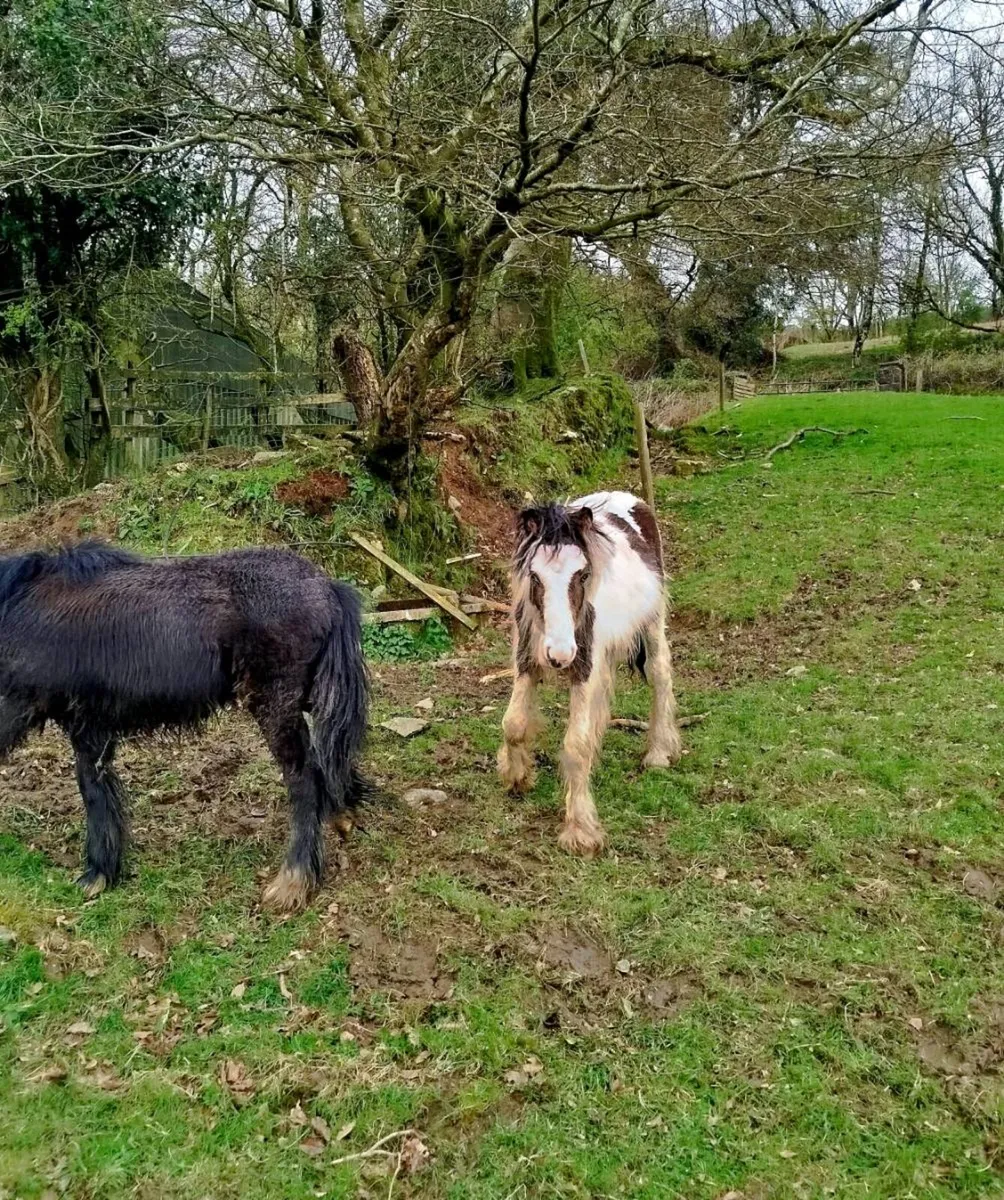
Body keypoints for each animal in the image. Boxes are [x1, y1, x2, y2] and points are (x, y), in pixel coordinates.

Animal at [0, 542, 369, 911]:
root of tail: (327, 587)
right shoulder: (89, 727)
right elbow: (96, 791)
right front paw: (101, 872)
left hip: (276, 705)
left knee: (304, 778)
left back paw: (293, 880)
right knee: (329, 761)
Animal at [497, 491, 682, 856]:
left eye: (582, 575)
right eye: (535, 577)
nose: (559, 655)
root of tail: (629, 498)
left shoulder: (584, 668)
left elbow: (576, 745)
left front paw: (580, 829)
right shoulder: (526, 660)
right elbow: (514, 723)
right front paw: (517, 776)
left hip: (652, 623)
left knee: (659, 676)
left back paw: (658, 753)